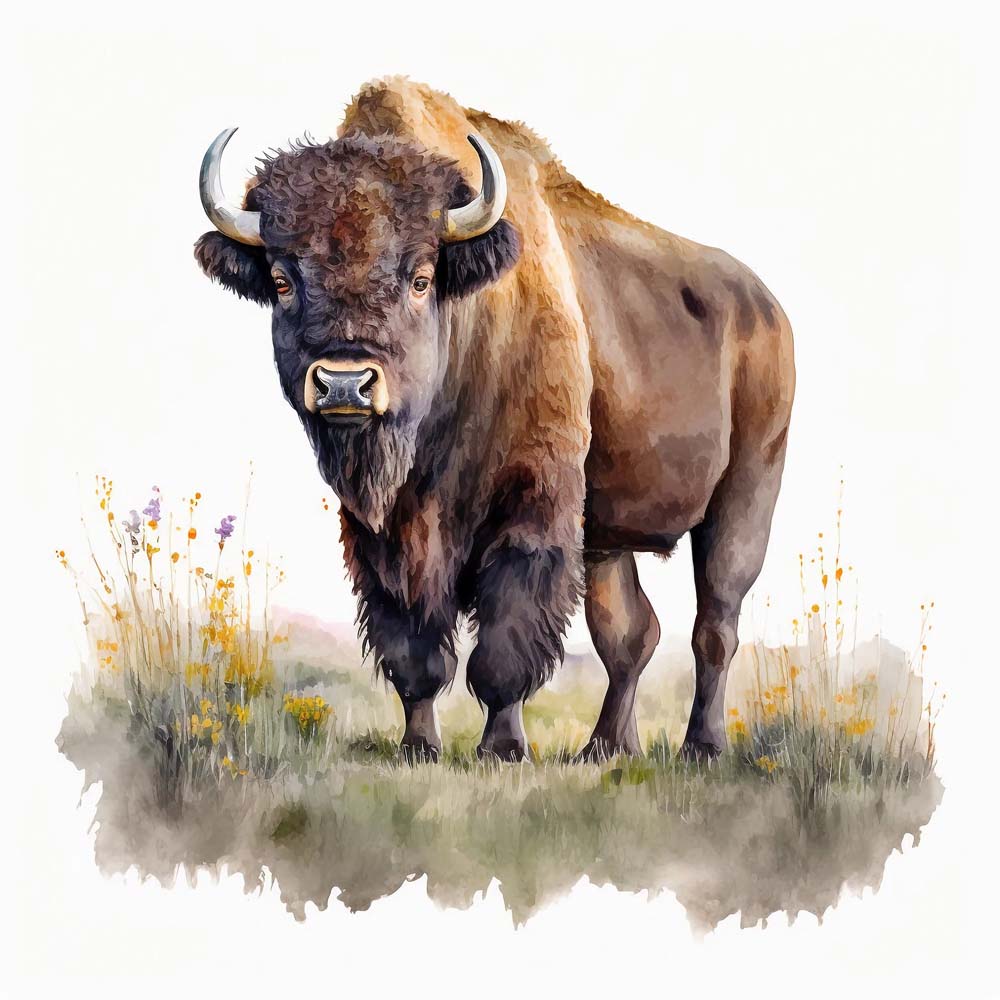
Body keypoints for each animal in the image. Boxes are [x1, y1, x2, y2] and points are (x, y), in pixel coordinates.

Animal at [195, 77, 795, 762]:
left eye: (421, 278)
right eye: (281, 279)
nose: (345, 382)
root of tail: (766, 309)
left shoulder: (532, 506)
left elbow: (505, 643)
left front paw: (503, 748)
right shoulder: (382, 540)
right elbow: (415, 651)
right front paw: (419, 747)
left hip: (745, 498)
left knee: (714, 624)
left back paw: (703, 746)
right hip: (609, 539)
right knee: (631, 634)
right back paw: (606, 748)